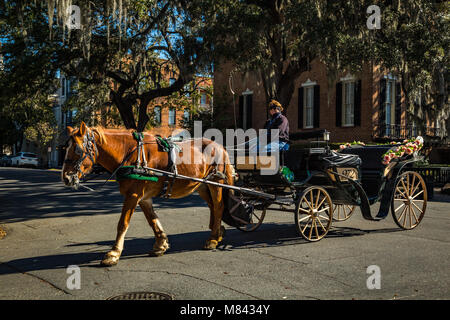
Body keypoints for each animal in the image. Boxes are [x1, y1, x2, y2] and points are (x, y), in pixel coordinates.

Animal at [62, 121, 236, 266]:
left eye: (78, 149)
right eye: (65, 148)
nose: (66, 177)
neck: (131, 154)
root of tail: (219, 146)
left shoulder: (133, 194)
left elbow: (123, 223)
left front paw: (113, 253)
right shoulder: (143, 197)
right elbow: (152, 220)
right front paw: (161, 244)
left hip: (216, 182)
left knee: (218, 207)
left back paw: (213, 239)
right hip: (201, 185)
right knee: (212, 207)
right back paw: (218, 233)